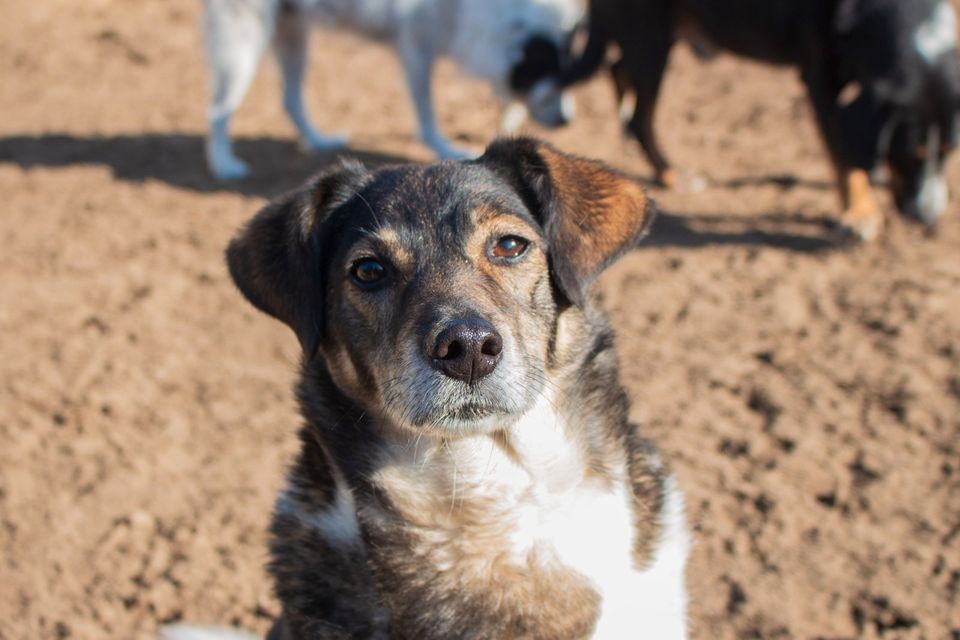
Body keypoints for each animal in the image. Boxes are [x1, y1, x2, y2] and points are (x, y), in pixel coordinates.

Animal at [202, 0, 580, 180]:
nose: (566, 119)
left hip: (292, 32)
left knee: (290, 98)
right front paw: (444, 146)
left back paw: (318, 140)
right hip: (243, 40)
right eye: (546, 67)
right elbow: (426, 109)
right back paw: (224, 164)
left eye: (567, 66)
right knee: (219, 110)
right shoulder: (416, 47)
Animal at [560, 0, 960, 239]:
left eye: (948, 153)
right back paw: (671, 173)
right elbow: (843, 157)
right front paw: (859, 212)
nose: (928, 218)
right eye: (909, 154)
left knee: (617, 72)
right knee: (641, 114)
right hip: (649, 41)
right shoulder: (819, 79)